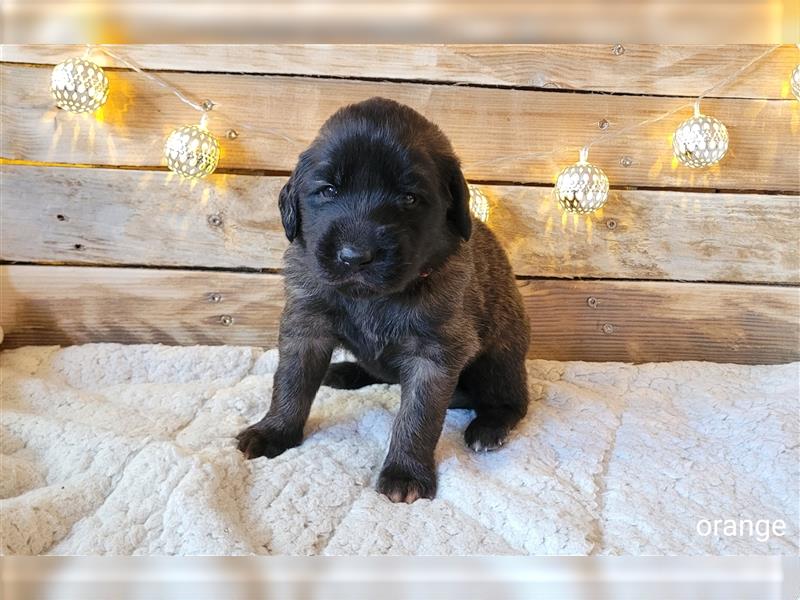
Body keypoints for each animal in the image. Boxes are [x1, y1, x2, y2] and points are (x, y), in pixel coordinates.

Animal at [238, 97, 532, 502]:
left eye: (409, 198)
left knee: (512, 399)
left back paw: (489, 427)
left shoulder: (435, 354)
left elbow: (418, 417)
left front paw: (406, 472)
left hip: (500, 356)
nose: (354, 256)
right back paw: (344, 371)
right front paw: (274, 430)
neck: (374, 297)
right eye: (327, 191)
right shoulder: (306, 327)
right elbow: (290, 383)